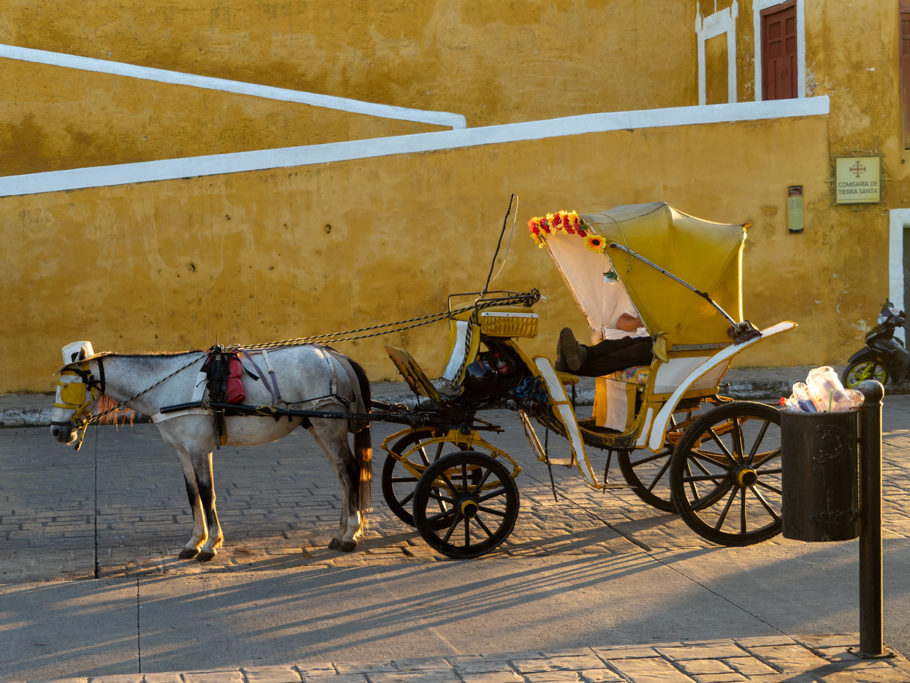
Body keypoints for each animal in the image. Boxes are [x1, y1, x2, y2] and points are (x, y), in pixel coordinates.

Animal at [50, 340, 372, 561]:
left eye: (67, 388)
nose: (56, 431)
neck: (167, 387)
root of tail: (337, 357)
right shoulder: (182, 451)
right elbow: (192, 494)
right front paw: (194, 542)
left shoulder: (198, 449)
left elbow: (207, 493)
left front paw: (210, 545)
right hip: (319, 427)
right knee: (342, 476)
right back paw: (340, 531)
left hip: (329, 427)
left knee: (350, 471)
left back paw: (350, 534)